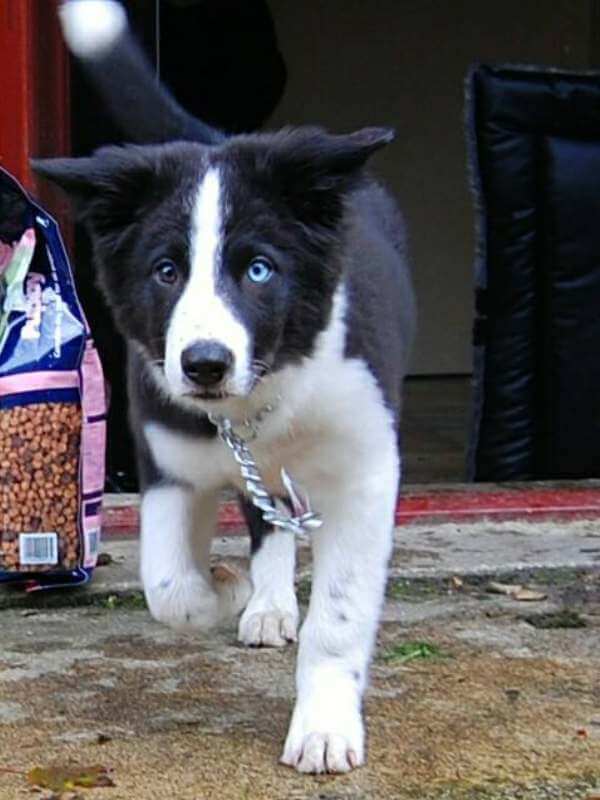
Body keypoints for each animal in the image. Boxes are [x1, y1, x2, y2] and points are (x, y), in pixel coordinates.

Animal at [34, 0, 418, 776]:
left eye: (259, 270)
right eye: (166, 271)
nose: (204, 364)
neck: (259, 402)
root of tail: (228, 141)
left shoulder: (366, 470)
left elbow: (338, 615)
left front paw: (324, 727)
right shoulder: (170, 463)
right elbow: (168, 588)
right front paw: (226, 588)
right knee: (267, 526)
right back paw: (264, 602)